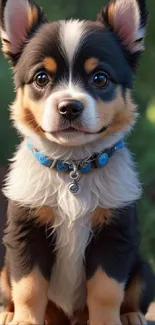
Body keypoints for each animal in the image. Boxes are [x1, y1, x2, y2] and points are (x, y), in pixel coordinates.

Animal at [0, 0, 155, 322]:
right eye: (41, 78)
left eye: (100, 78)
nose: (69, 107)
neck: (73, 167)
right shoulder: (24, 231)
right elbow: (28, 287)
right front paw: (24, 320)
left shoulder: (116, 233)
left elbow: (107, 291)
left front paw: (107, 322)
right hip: (3, 268)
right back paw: (9, 313)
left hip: (145, 267)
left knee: (135, 290)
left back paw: (131, 315)